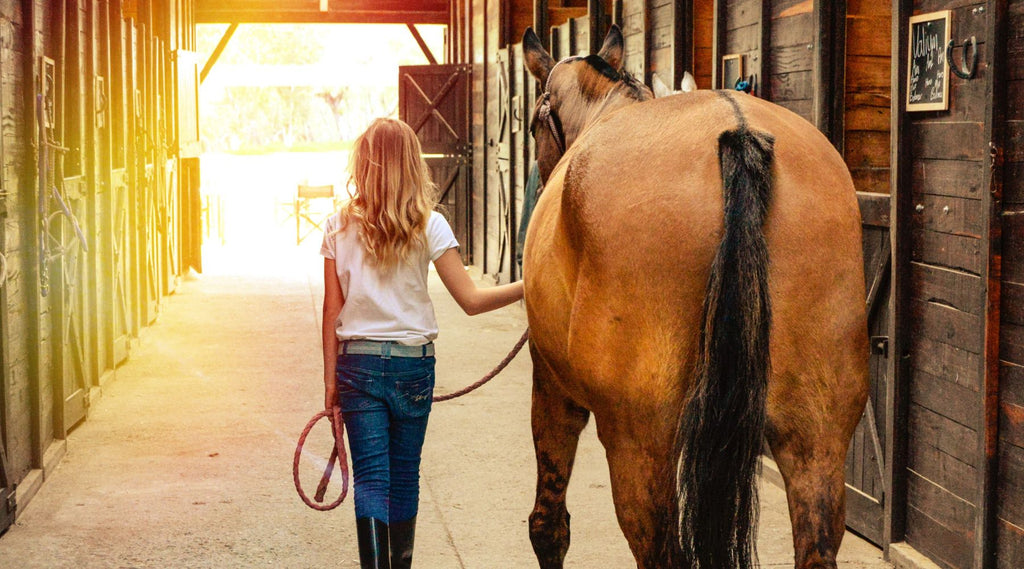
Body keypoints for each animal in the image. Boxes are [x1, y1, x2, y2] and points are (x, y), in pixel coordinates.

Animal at [520, 24, 872, 564]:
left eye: (535, 122)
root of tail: (738, 133)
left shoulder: (552, 385)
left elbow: (549, 524)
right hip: (818, 435)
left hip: (640, 441)